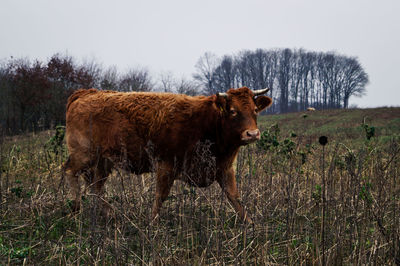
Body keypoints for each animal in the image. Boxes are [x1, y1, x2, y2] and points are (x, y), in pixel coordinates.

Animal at [65, 87, 272, 222]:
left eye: (255, 110)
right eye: (233, 111)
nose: (252, 134)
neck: (207, 124)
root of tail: (86, 93)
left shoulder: (224, 168)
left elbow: (234, 197)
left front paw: (249, 224)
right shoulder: (166, 165)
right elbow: (160, 196)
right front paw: (152, 223)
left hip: (103, 161)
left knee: (97, 186)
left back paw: (109, 214)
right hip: (84, 154)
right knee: (69, 172)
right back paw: (75, 210)